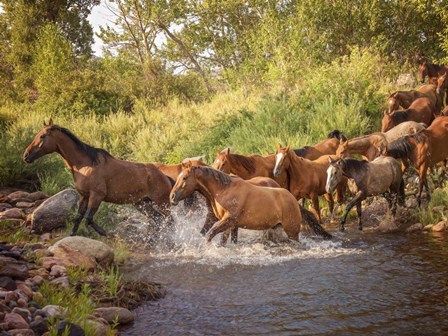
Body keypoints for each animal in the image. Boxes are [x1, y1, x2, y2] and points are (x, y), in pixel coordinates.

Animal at [22, 121, 174, 236]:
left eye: (42, 136)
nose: (26, 156)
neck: (85, 165)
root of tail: (164, 176)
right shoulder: (84, 196)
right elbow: (79, 217)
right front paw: (72, 235)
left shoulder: (97, 196)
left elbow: (88, 218)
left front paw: (107, 234)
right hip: (142, 203)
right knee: (158, 220)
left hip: (162, 203)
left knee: (169, 221)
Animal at [170, 164, 330, 243]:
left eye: (184, 178)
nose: (172, 197)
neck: (223, 190)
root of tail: (293, 200)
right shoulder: (230, 224)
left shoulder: (228, 221)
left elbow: (210, 235)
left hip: (292, 232)